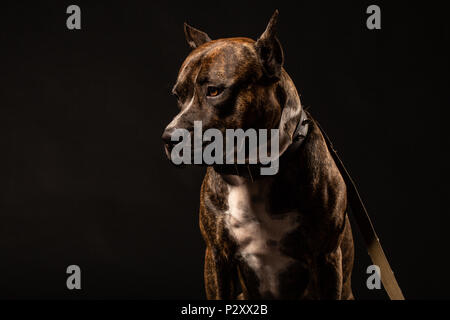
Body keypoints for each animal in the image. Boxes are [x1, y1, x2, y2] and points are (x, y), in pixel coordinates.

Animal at [162, 10, 356, 300]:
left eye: (214, 91)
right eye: (178, 95)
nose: (169, 137)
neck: (252, 170)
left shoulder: (327, 259)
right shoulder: (217, 257)